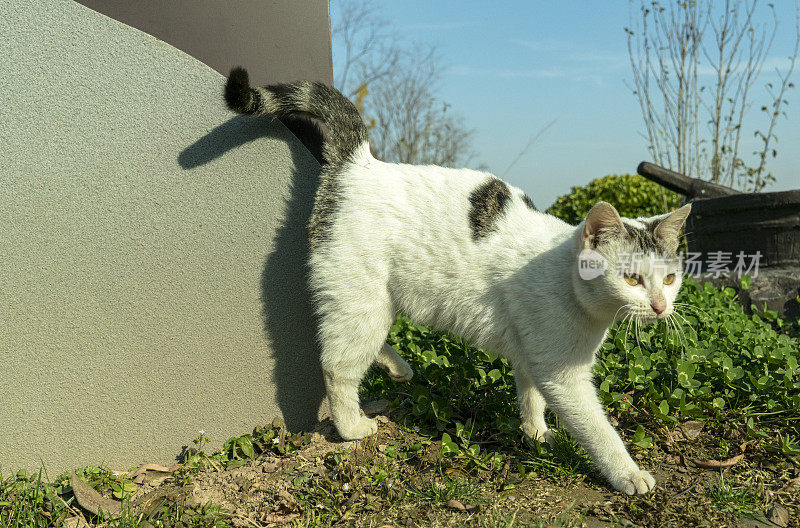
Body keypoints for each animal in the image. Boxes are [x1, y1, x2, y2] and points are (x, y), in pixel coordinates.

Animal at [223, 66, 688, 496]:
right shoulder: (563, 375)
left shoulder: (531, 356)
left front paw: (536, 434)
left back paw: (397, 367)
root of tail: (362, 164)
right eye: (632, 278)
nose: (661, 306)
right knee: (337, 364)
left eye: (669, 278)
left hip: (375, 305)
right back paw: (352, 426)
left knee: (356, 347)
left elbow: (530, 395)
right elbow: (598, 430)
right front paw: (628, 475)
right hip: (361, 301)